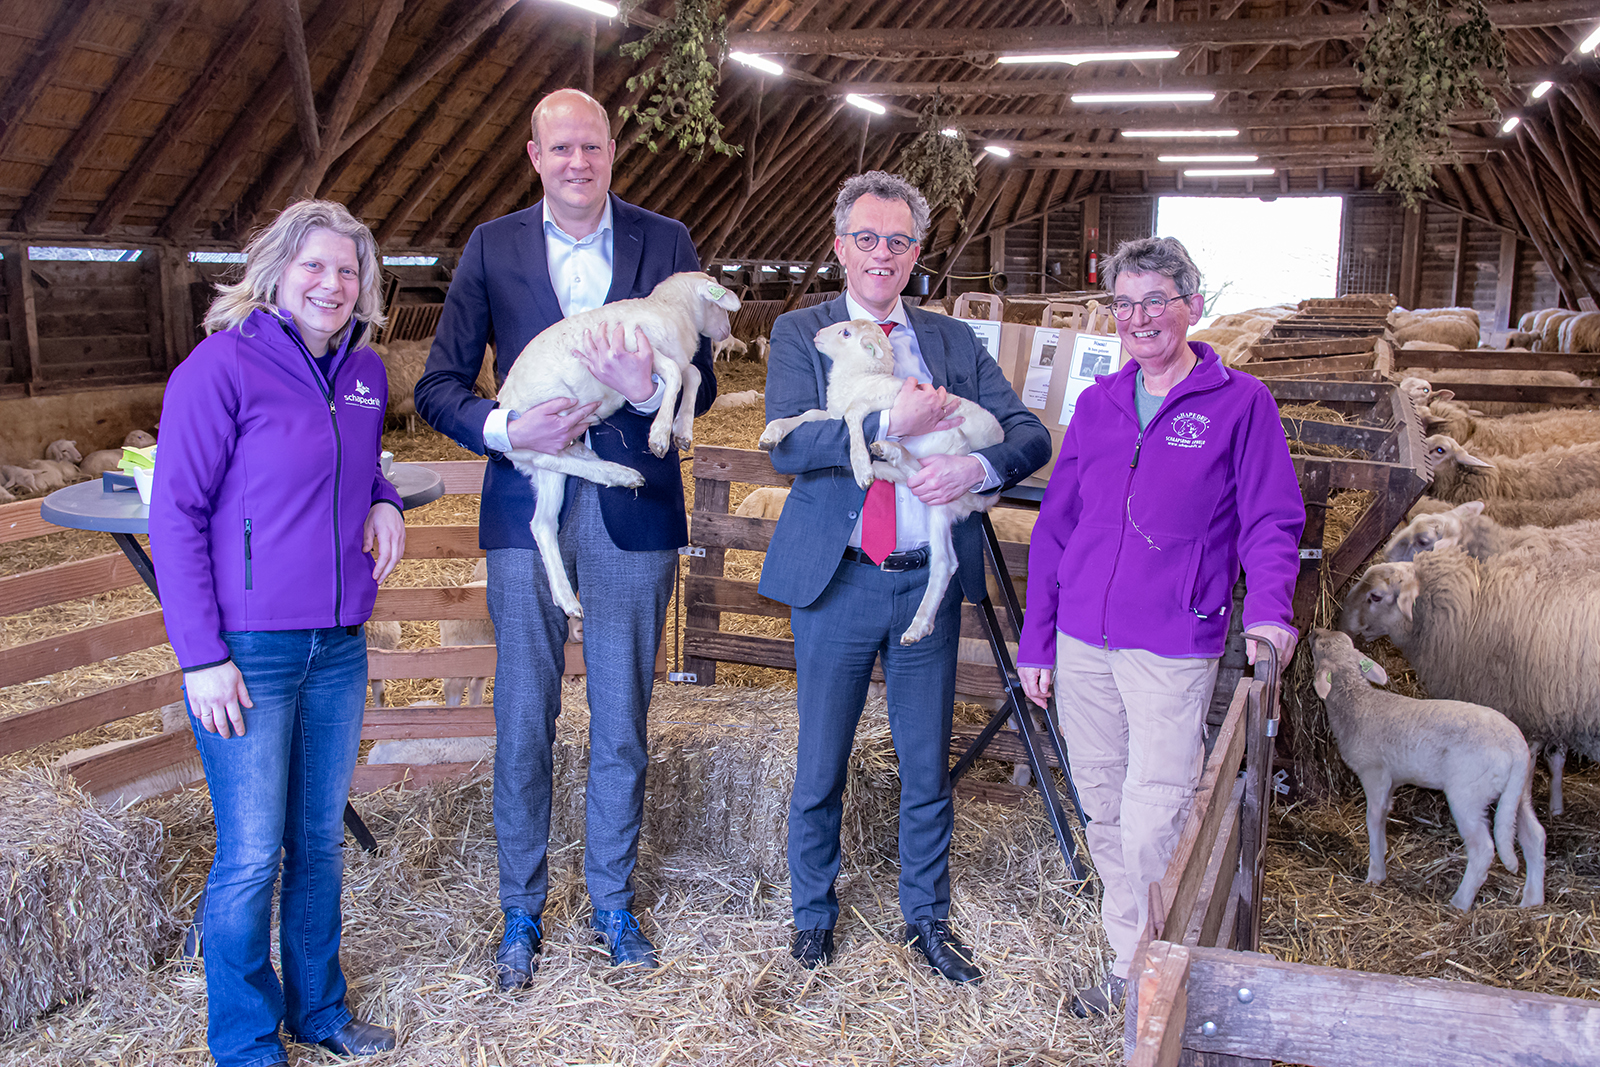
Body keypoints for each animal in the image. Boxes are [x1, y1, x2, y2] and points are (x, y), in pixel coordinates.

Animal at [496, 268, 739, 617]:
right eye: (719, 304)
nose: (726, 330)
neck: (670, 309)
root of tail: (504, 409)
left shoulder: (670, 358)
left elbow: (691, 374)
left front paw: (682, 430)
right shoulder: (639, 348)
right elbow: (675, 374)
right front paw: (660, 435)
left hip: (549, 474)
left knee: (542, 524)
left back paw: (567, 598)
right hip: (545, 420)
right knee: (544, 455)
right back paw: (616, 472)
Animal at [758, 321, 998, 646]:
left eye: (846, 333)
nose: (817, 335)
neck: (860, 376)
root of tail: (984, 499)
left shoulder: (888, 401)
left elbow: (854, 412)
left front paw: (860, 463)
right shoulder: (831, 413)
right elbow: (809, 414)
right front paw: (771, 435)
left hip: (946, 445)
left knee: (921, 469)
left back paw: (884, 455)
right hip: (938, 507)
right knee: (944, 562)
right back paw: (918, 627)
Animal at [1305, 630, 1542, 915]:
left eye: (1319, 646)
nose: (1314, 632)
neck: (1358, 702)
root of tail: (1515, 746)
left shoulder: (1375, 773)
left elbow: (1373, 819)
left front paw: (1375, 874)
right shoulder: (1392, 779)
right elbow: (1384, 814)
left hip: (1469, 793)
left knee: (1483, 849)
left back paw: (1460, 903)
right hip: (1520, 790)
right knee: (1534, 836)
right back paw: (1532, 901)